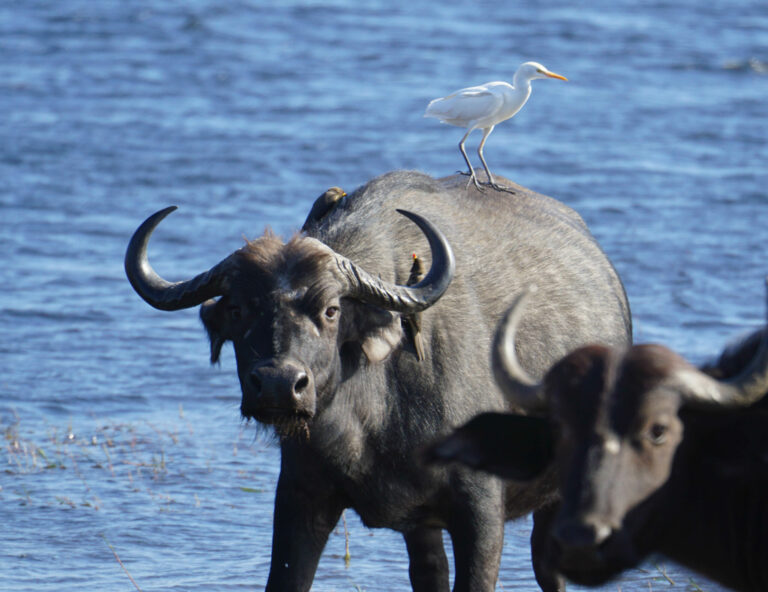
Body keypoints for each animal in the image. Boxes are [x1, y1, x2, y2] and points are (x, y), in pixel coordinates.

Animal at [124, 169, 632, 588]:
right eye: (237, 309)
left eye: (331, 310)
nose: (278, 384)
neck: (373, 417)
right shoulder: (301, 497)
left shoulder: (482, 511)